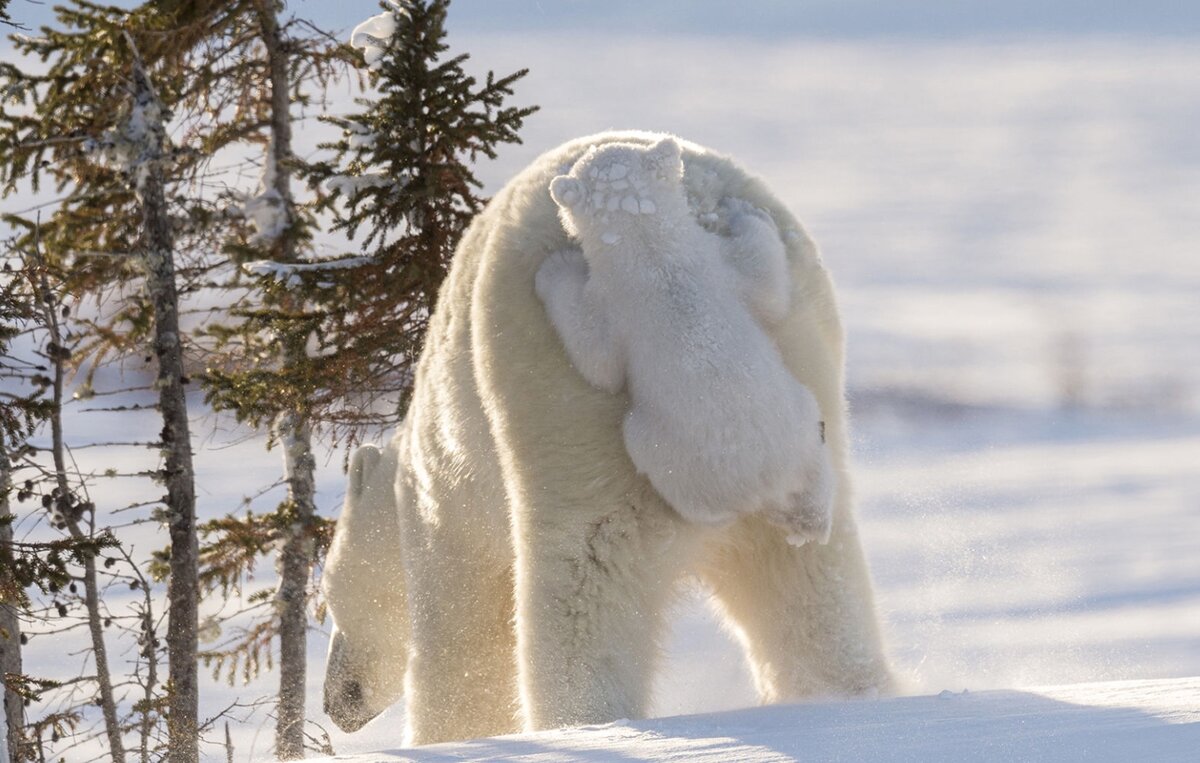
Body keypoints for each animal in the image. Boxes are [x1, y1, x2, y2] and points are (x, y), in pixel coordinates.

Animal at [319, 131, 892, 743]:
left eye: (325, 599)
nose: (336, 702)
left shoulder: (447, 506)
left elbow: (463, 642)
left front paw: (451, 736)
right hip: (804, 364)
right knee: (811, 583)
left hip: (559, 404)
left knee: (583, 579)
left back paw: (583, 722)